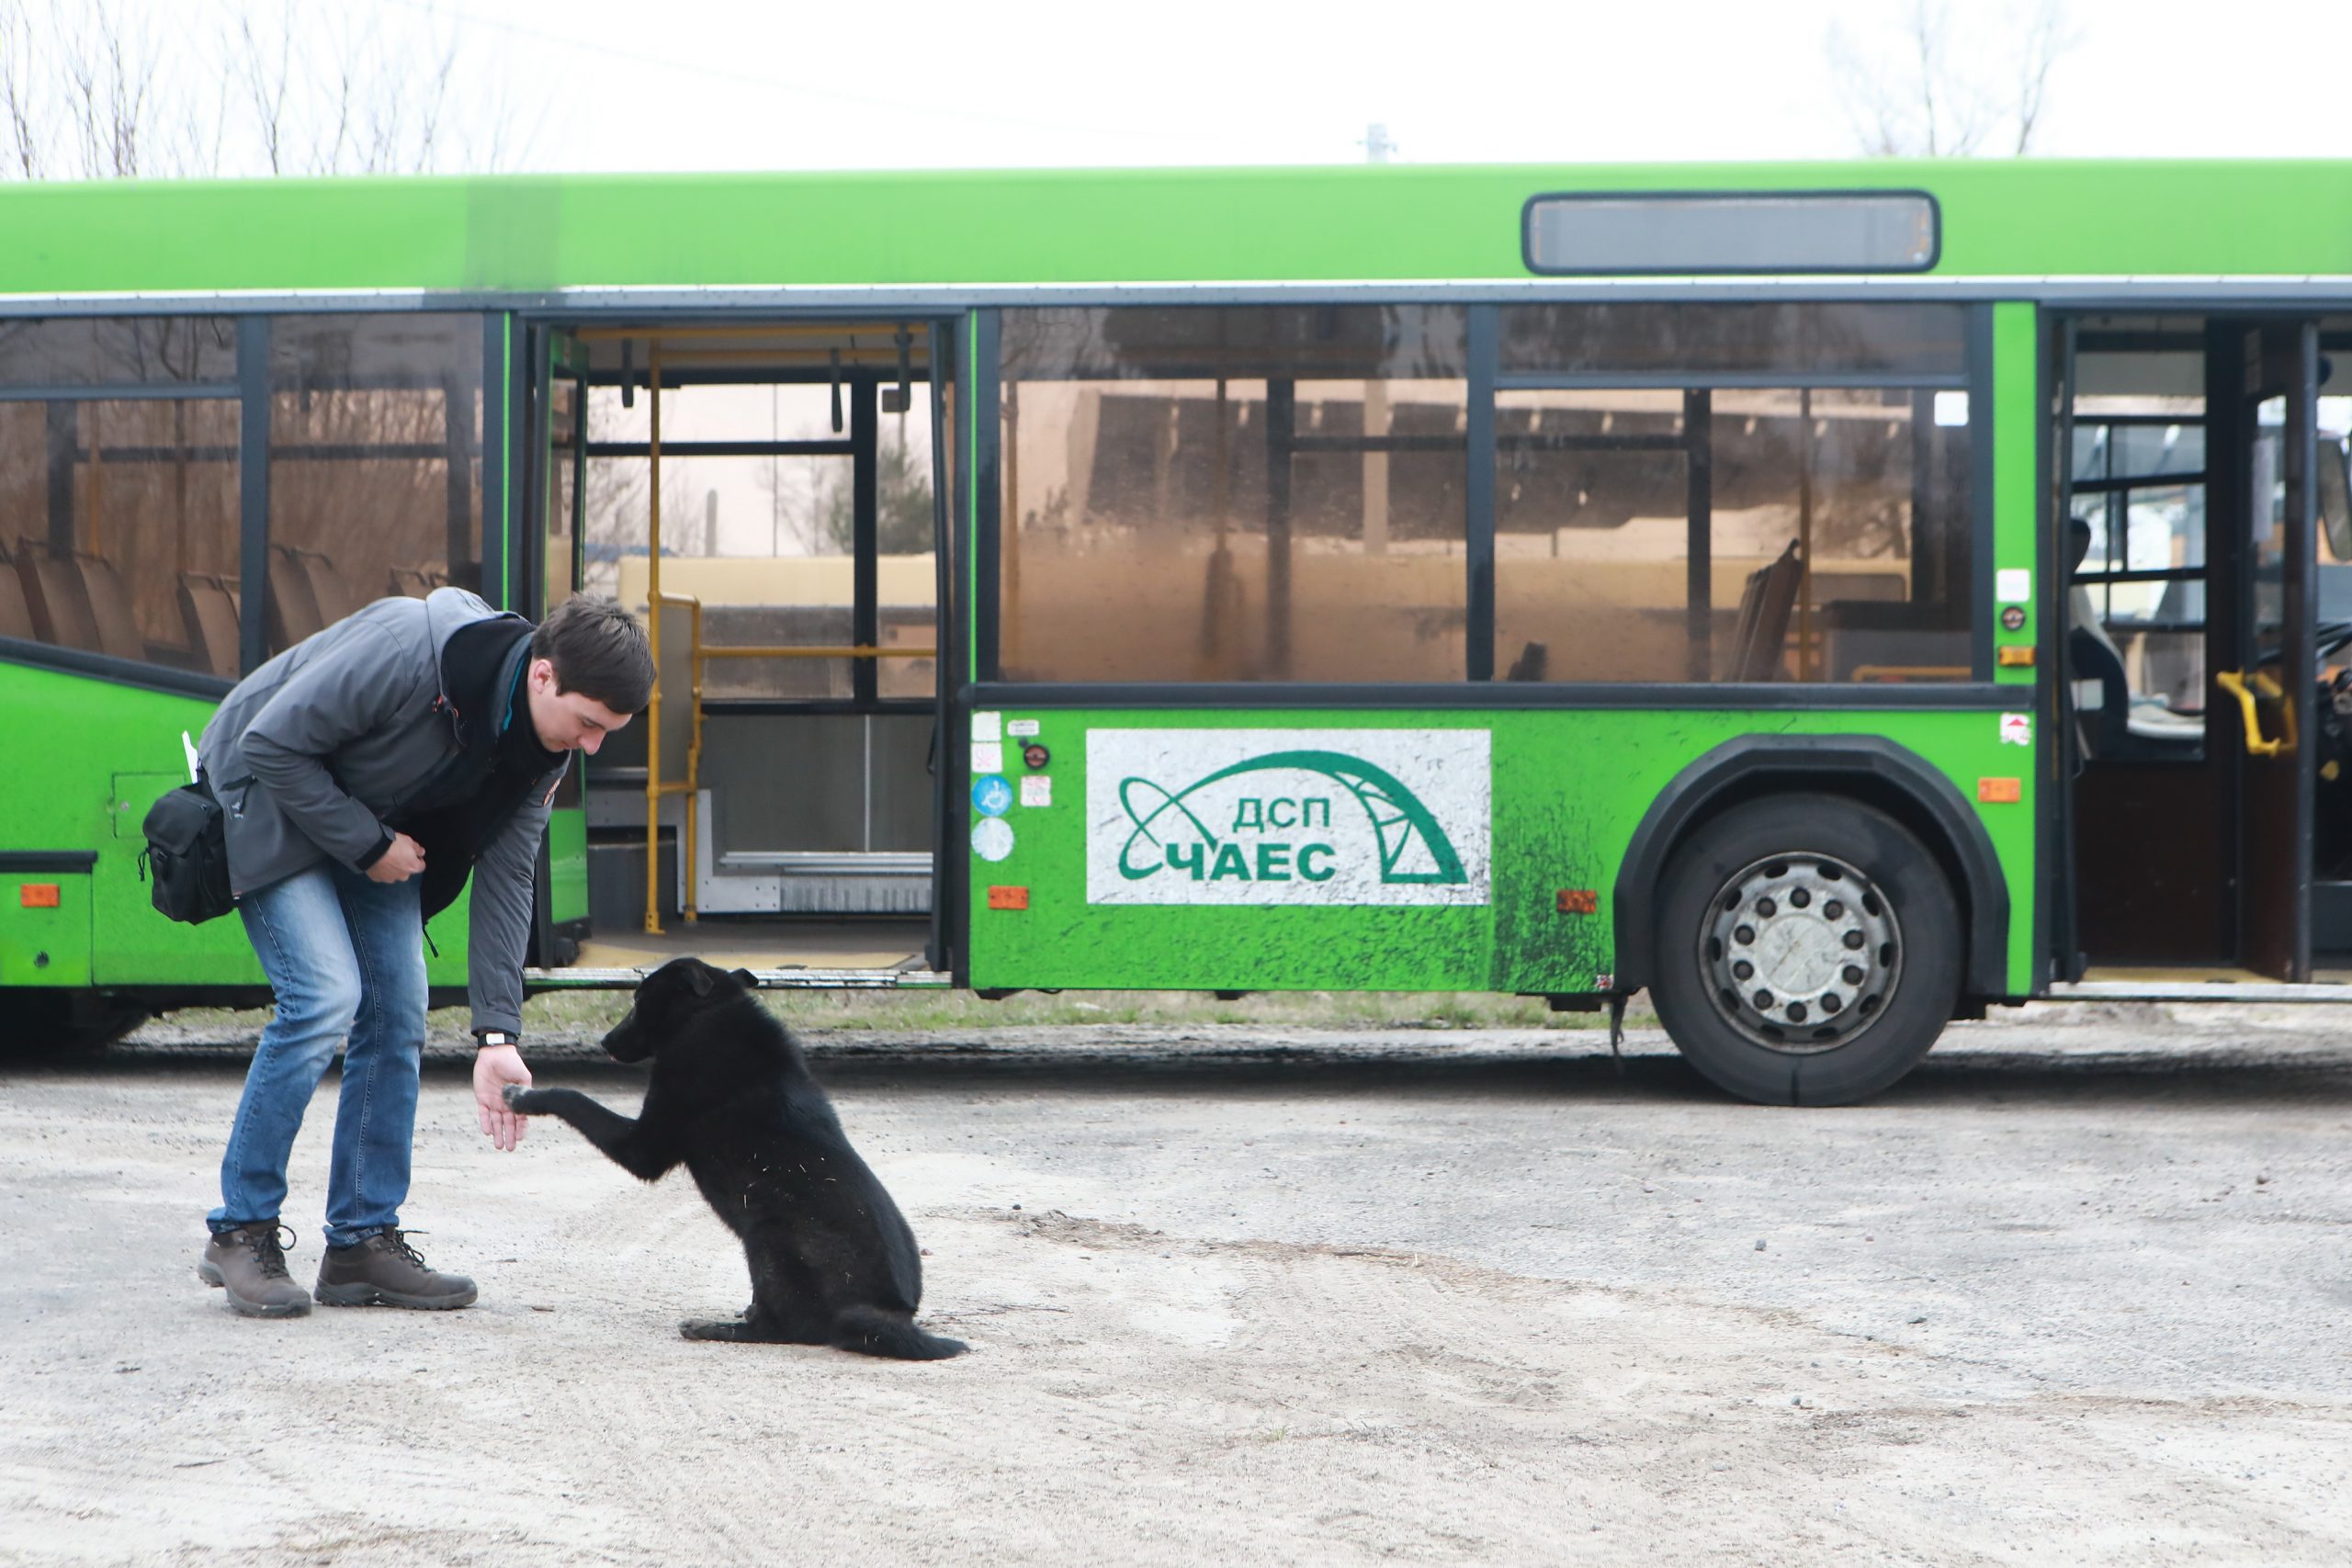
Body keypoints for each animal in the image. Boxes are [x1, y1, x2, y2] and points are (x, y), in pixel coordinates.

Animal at [505, 959, 964, 1363]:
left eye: (637, 1001)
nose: (604, 1042)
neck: (710, 1014)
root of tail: (886, 1312)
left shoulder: (642, 1147)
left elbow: (574, 1098)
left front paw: (525, 1096)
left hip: (765, 1235)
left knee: (787, 1330)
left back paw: (716, 1328)